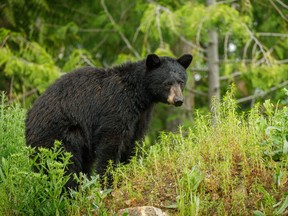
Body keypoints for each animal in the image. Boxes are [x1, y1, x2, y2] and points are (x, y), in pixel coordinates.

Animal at [24, 54, 191, 187]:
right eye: (167, 83)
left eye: (181, 81)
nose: (179, 100)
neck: (139, 95)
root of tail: (28, 118)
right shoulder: (116, 108)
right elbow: (110, 144)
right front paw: (108, 182)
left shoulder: (141, 116)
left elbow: (133, 143)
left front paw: (127, 172)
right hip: (59, 133)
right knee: (63, 163)